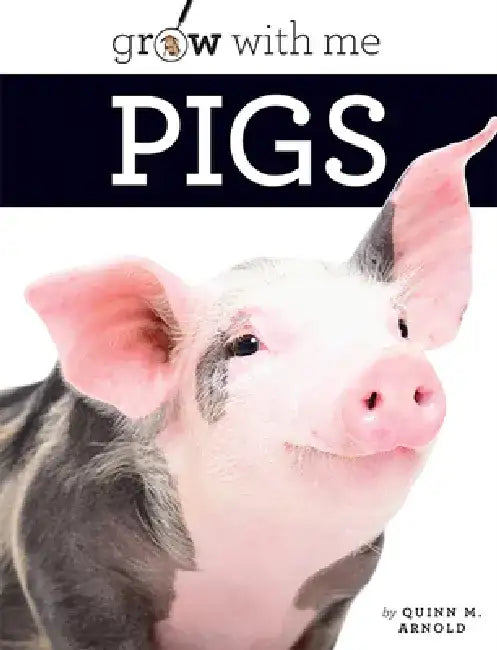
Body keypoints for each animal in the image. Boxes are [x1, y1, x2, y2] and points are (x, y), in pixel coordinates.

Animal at [0, 117, 496, 650]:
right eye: (245, 344)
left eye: (401, 327)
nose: (393, 367)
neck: (249, 588)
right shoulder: (66, 564)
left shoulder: (336, 600)